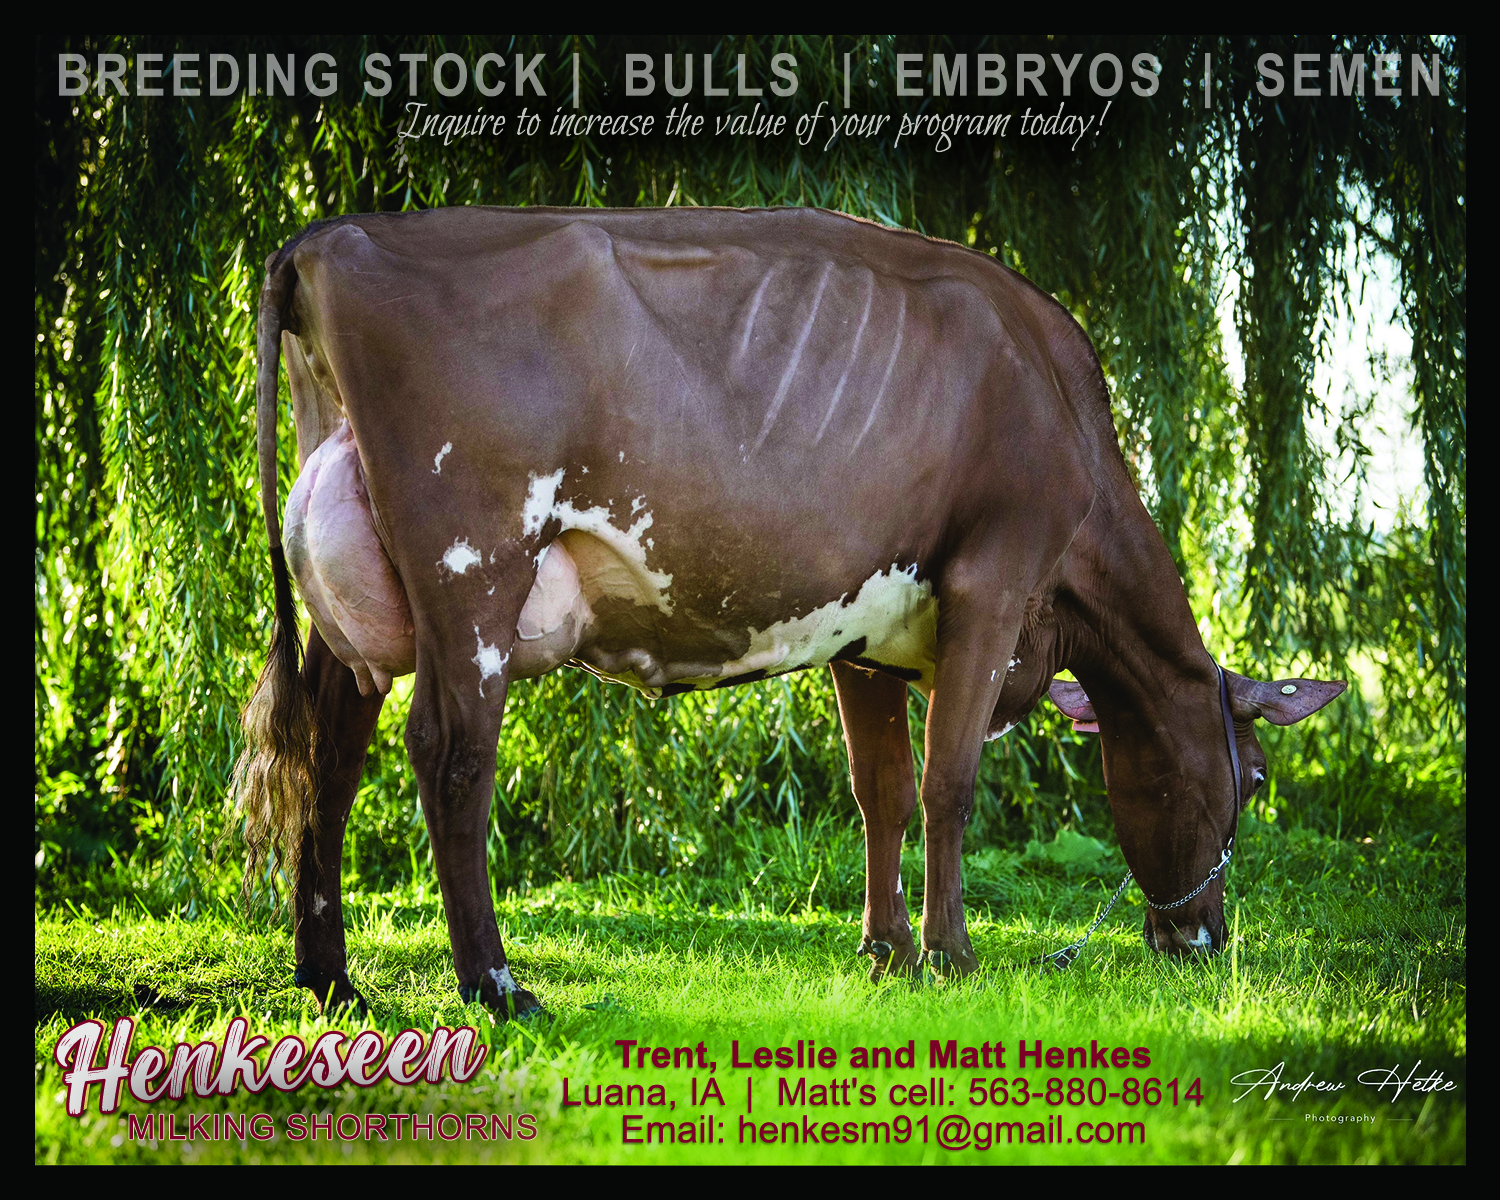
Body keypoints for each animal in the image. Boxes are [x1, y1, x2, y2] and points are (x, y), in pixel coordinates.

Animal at [232, 205, 1345, 1019]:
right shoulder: (996, 580)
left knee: (329, 749)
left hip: (361, 580)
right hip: (473, 566)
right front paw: (952, 957)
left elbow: (880, 791)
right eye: (1252, 779)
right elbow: (949, 783)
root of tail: (326, 238)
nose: (1201, 940)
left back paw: (331, 979)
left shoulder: (867, 629)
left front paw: (886, 952)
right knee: (451, 755)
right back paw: (499, 988)